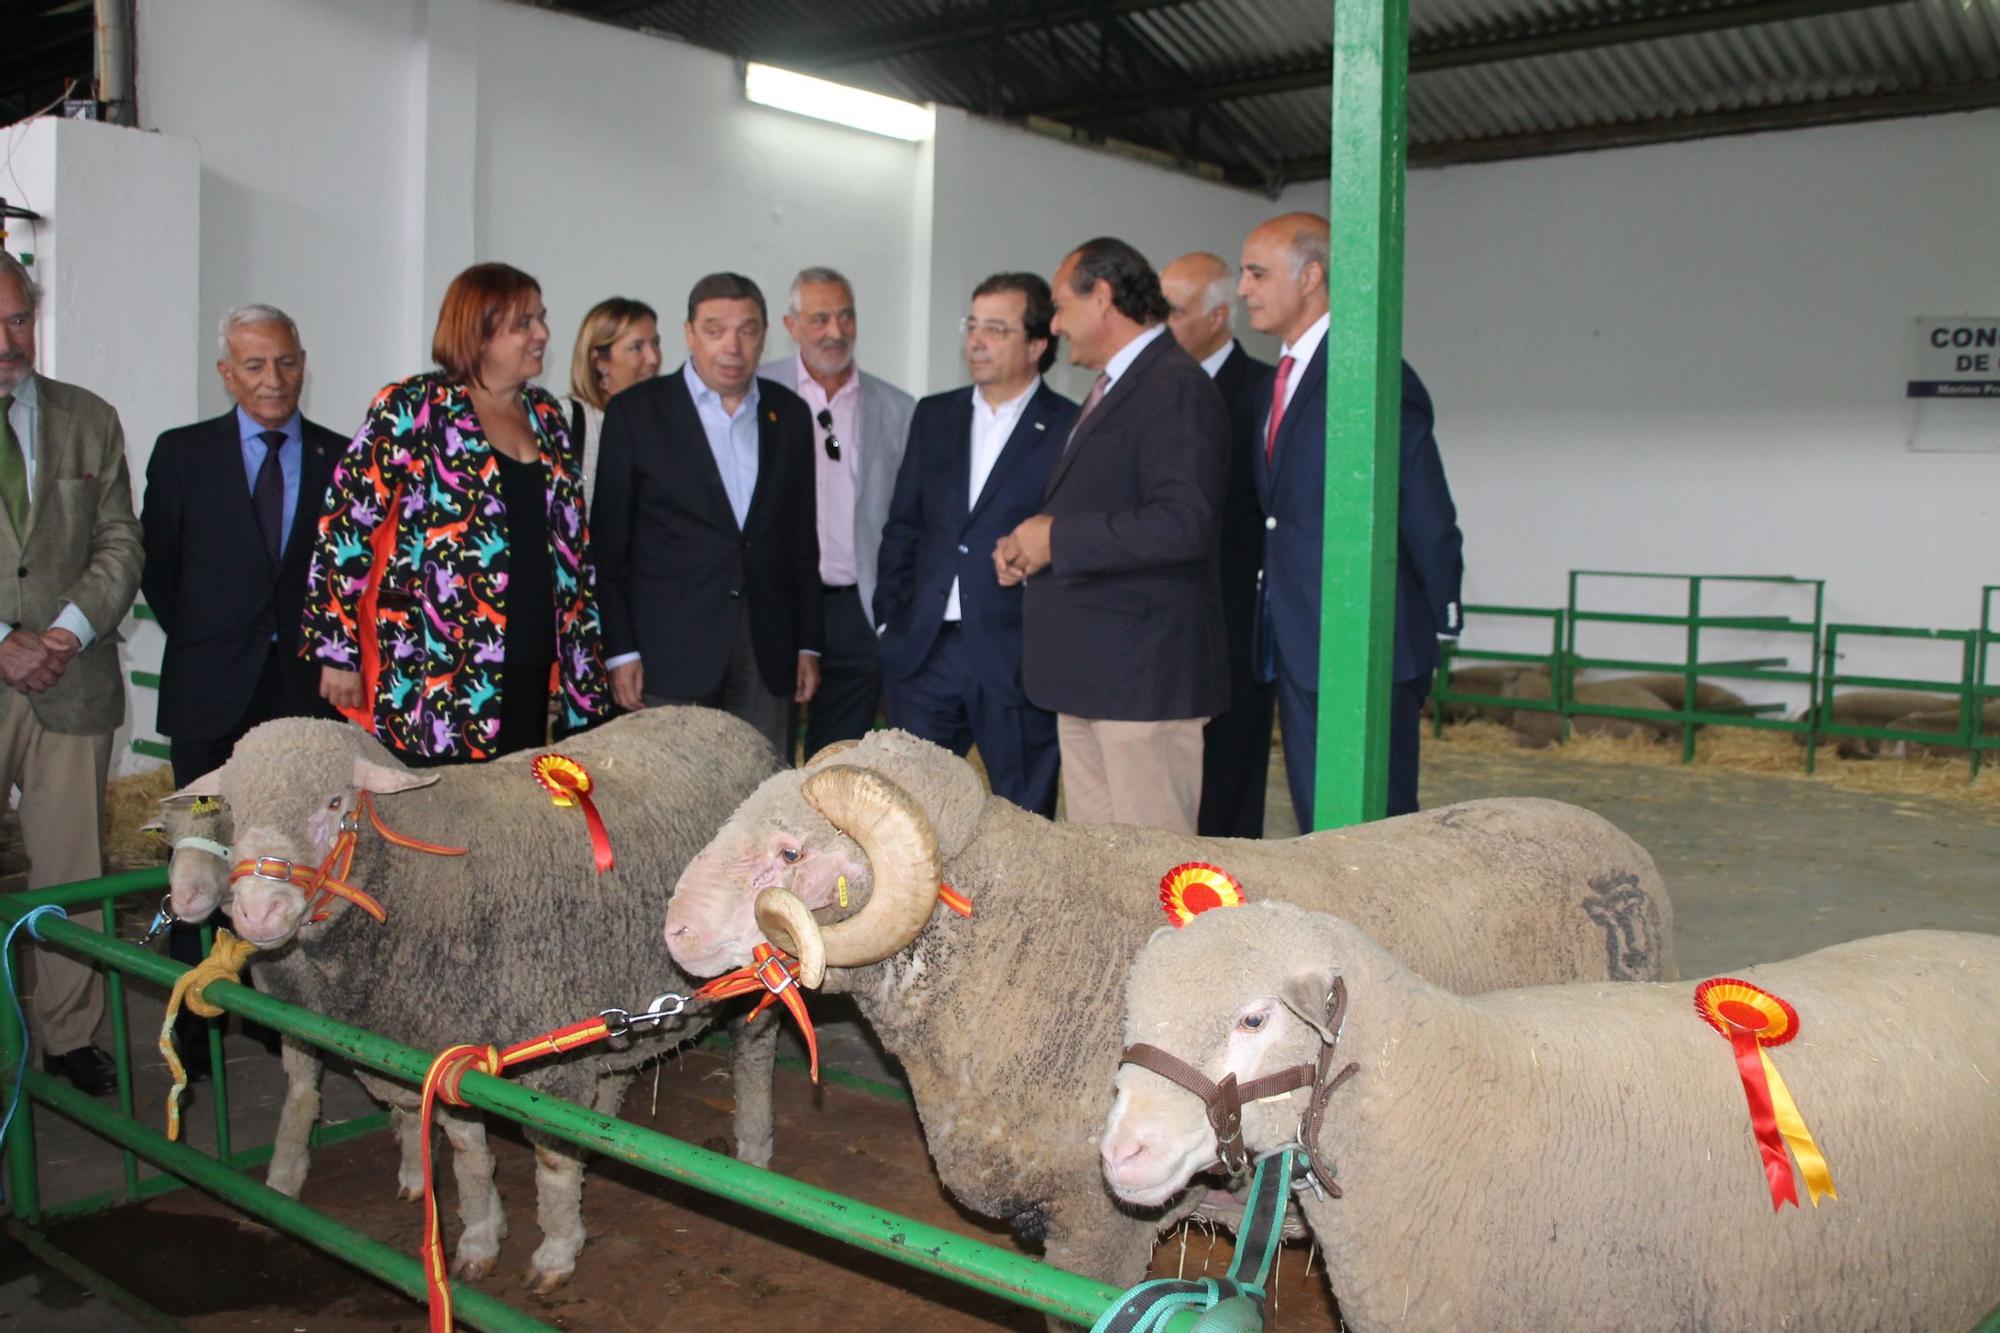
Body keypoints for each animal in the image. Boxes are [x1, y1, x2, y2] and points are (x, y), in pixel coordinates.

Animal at [172, 704, 784, 1288]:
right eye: (233, 809)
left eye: (333, 801)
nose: (258, 913)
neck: (422, 873)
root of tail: (732, 722)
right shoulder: (442, 1044)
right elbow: (467, 1151)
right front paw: (478, 1241)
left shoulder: (546, 1044)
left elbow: (551, 1160)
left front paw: (556, 1251)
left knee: (755, 1054)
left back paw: (754, 1152)